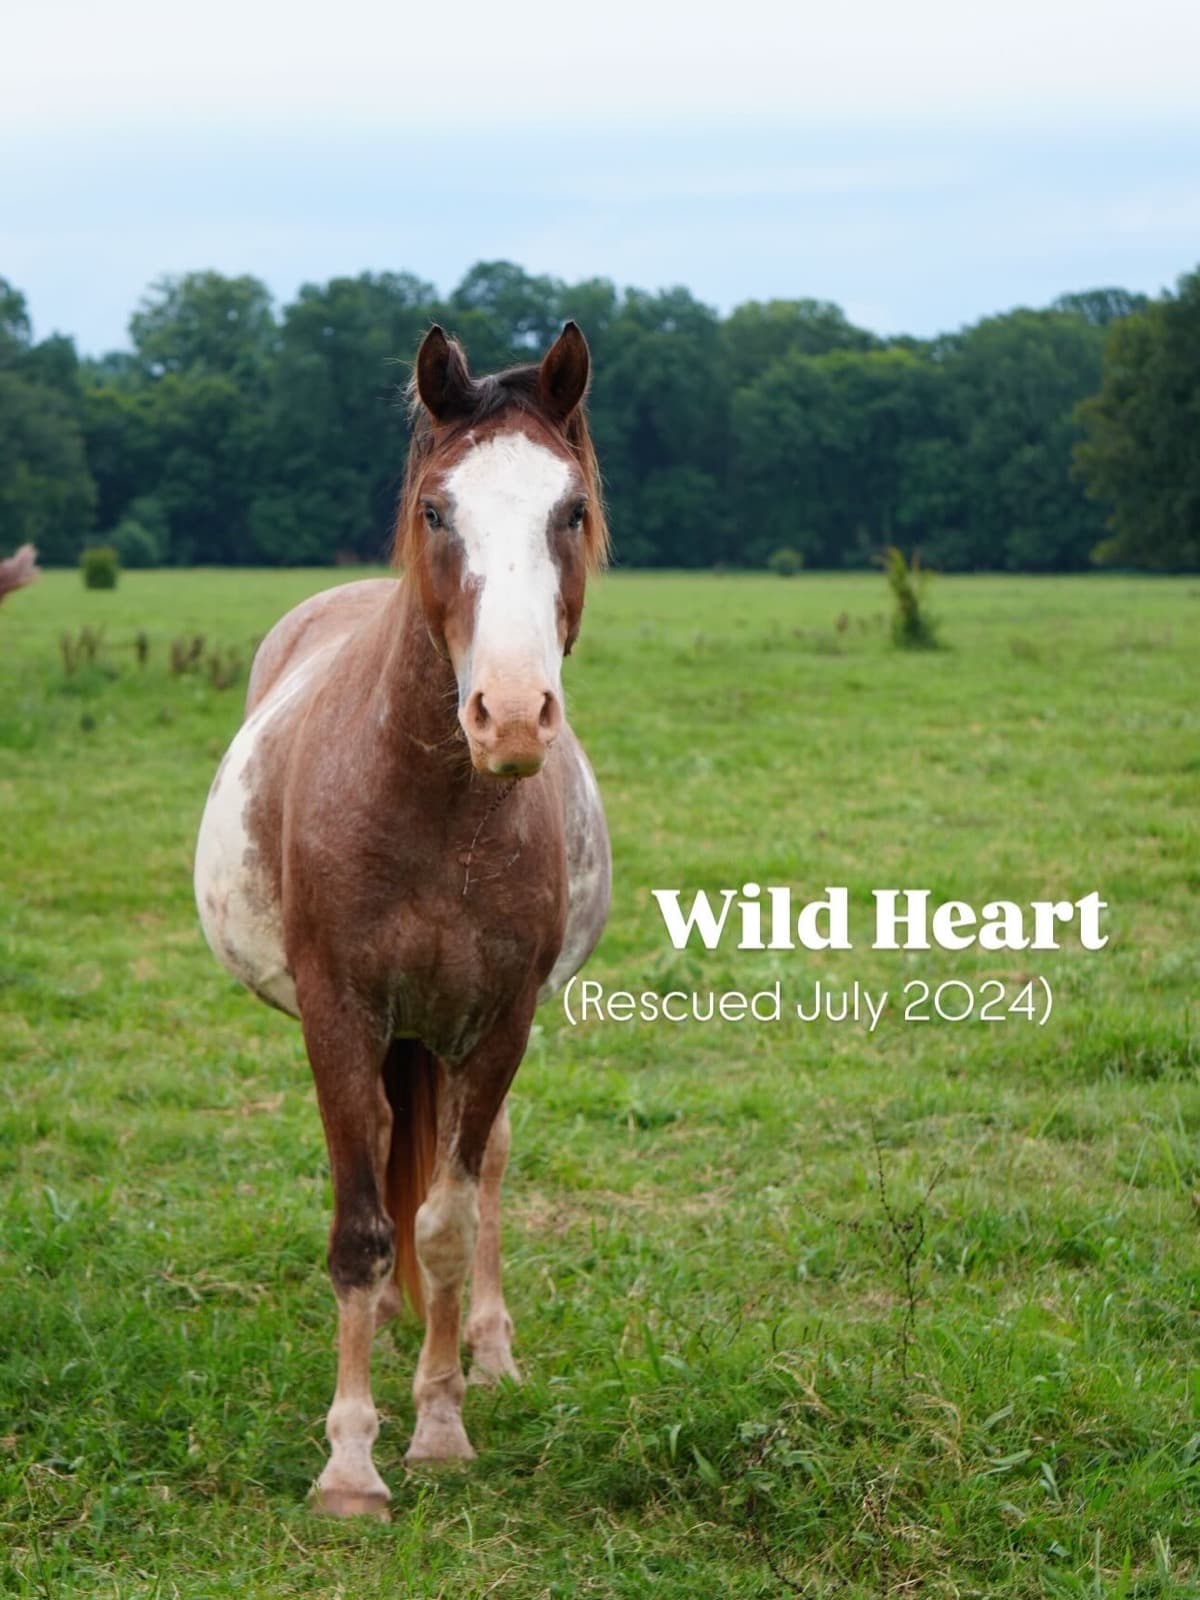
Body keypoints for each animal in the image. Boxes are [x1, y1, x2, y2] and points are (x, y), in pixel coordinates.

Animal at [193, 321, 611, 1516]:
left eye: (571, 509)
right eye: (437, 509)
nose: (510, 715)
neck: (432, 807)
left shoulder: (499, 1025)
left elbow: (447, 1219)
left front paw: (438, 1426)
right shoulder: (340, 1014)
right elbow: (361, 1229)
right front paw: (348, 1462)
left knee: (479, 1167)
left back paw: (485, 1346)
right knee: (379, 1164)